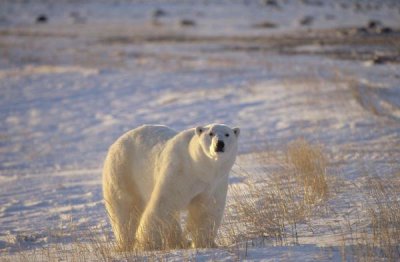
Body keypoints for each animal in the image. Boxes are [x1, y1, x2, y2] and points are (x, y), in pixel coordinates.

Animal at [103, 124, 241, 251]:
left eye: (227, 134)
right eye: (211, 133)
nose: (220, 144)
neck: (199, 168)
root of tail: (117, 142)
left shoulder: (214, 183)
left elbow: (207, 210)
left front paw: (204, 243)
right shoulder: (179, 172)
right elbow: (164, 205)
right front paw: (147, 243)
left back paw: (180, 242)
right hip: (124, 172)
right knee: (126, 211)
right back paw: (127, 244)